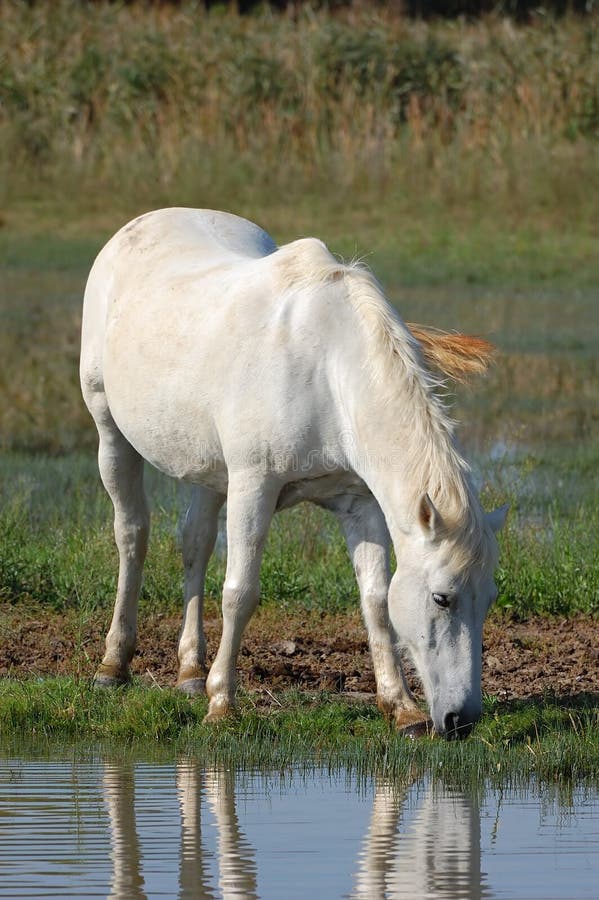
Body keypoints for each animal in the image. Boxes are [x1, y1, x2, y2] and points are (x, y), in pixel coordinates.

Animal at [80, 207, 507, 739]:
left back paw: (190, 670)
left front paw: (401, 707)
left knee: (194, 543)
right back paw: (114, 665)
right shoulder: (252, 487)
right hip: (111, 433)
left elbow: (375, 600)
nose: (461, 720)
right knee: (132, 534)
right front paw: (222, 703)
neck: (328, 371)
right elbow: (240, 593)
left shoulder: (359, 503)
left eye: (488, 598)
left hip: (207, 470)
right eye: (442, 598)